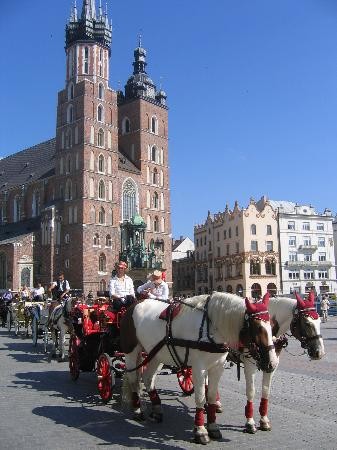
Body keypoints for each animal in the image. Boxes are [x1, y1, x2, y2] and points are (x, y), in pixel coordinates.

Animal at [119, 292, 276, 442]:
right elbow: (200, 397)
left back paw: (157, 409)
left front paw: (212, 426)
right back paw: (137, 410)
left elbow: (211, 396)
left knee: (148, 378)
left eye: (271, 326)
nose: (272, 363)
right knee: (133, 380)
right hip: (131, 351)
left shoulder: (217, 367)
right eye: (258, 328)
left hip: (156, 355)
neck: (210, 328)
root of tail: (136, 303)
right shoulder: (199, 368)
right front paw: (200, 431)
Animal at [238, 290, 324, 434]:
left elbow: (266, 390)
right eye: (307, 323)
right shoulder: (249, 365)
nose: (320, 352)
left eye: (319, 321)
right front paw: (250, 423)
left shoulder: (272, 365)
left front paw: (264, 421)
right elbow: (251, 391)